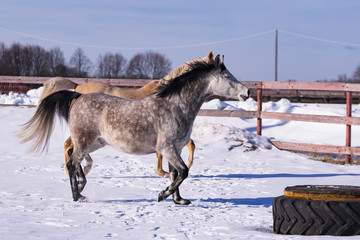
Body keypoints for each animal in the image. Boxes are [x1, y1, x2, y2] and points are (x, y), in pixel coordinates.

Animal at [18, 53, 249, 205]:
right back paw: (78, 196)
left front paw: (179, 200)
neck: (175, 106)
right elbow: (183, 171)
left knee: (74, 159)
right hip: (84, 142)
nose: (247, 92)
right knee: (72, 162)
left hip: (94, 143)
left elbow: (176, 174)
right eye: (227, 76)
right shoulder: (167, 149)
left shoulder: (175, 149)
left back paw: (82, 185)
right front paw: (163, 195)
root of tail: (78, 95)